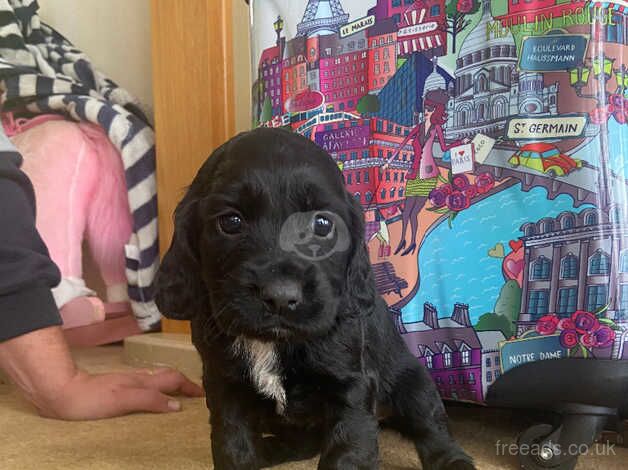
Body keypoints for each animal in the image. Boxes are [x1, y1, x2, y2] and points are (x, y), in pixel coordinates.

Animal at [155, 127, 474, 470]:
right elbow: (233, 446)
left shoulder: (351, 386)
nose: (281, 297)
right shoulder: (225, 385)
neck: (274, 342)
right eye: (230, 221)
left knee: (432, 427)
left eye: (322, 223)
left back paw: (453, 461)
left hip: (415, 384)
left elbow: (347, 453)